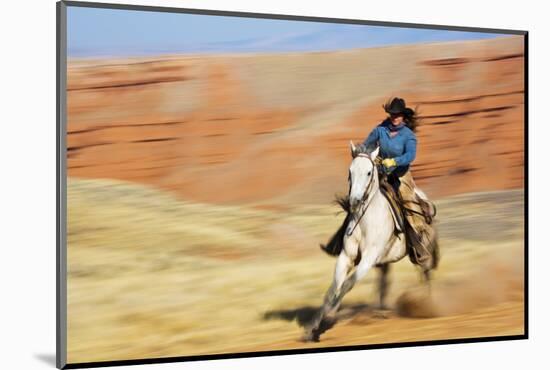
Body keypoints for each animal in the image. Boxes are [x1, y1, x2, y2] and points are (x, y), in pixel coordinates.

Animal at [304, 142, 438, 342]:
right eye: (350, 171)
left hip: (422, 254)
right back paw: (380, 312)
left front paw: (329, 317)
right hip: (384, 261)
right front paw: (312, 328)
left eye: (368, 172)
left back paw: (428, 305)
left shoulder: (367, 259)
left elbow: (347, 284)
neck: (366, 220)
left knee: (426, 274)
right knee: (384, 281)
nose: (354, 201)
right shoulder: (346, 256)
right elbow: (333, 289)